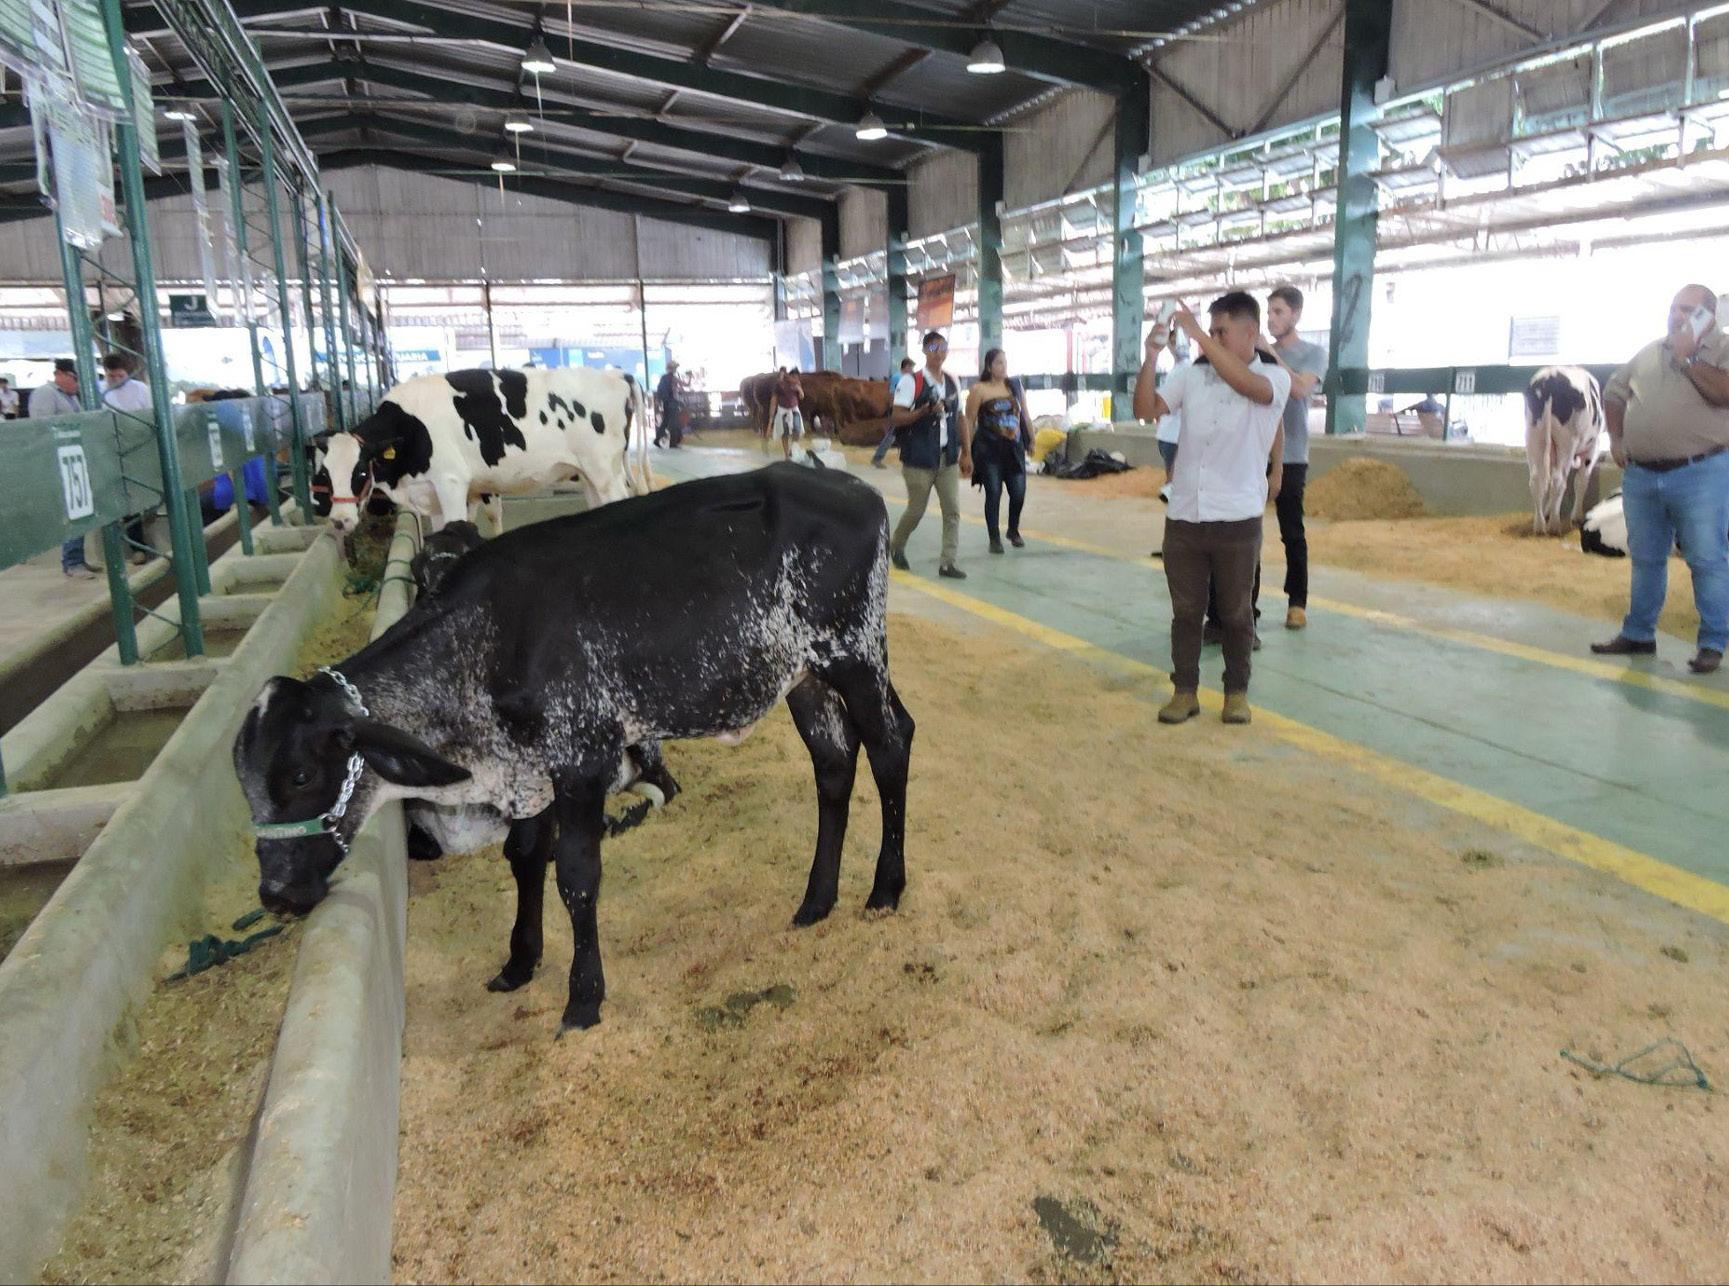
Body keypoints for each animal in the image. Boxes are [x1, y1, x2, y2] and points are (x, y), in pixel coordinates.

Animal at [233, 464, 914, 1034]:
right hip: (804, 678)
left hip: (855, 653)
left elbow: (576, 878)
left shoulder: (582, 758)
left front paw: (583, 998)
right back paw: (816, 900)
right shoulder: (531, 769)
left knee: (889, 746)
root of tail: (855, 488)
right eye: (243, 782)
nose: (276, 895)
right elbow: (524, 857)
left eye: (300, 775)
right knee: (833, 763)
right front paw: (519, 961)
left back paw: (884, 890)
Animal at [322, 367, 648, 536]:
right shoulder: (432, 494)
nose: (338, 520)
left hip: (605, 471)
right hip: (588, 473)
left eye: (360, 471)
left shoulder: (451, 483)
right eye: (325, 475)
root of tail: (617, 374)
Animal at [1525, 366, 1607, 536]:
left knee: (1536, 480)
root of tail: (1550, 377)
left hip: (1534, 437)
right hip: (1567, 441)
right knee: (1558, 480)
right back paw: (1555, 526)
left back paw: (1539, 525)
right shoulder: (1593, 446)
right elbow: (1581, 480)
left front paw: (1548, 510)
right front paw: (1576, 516)